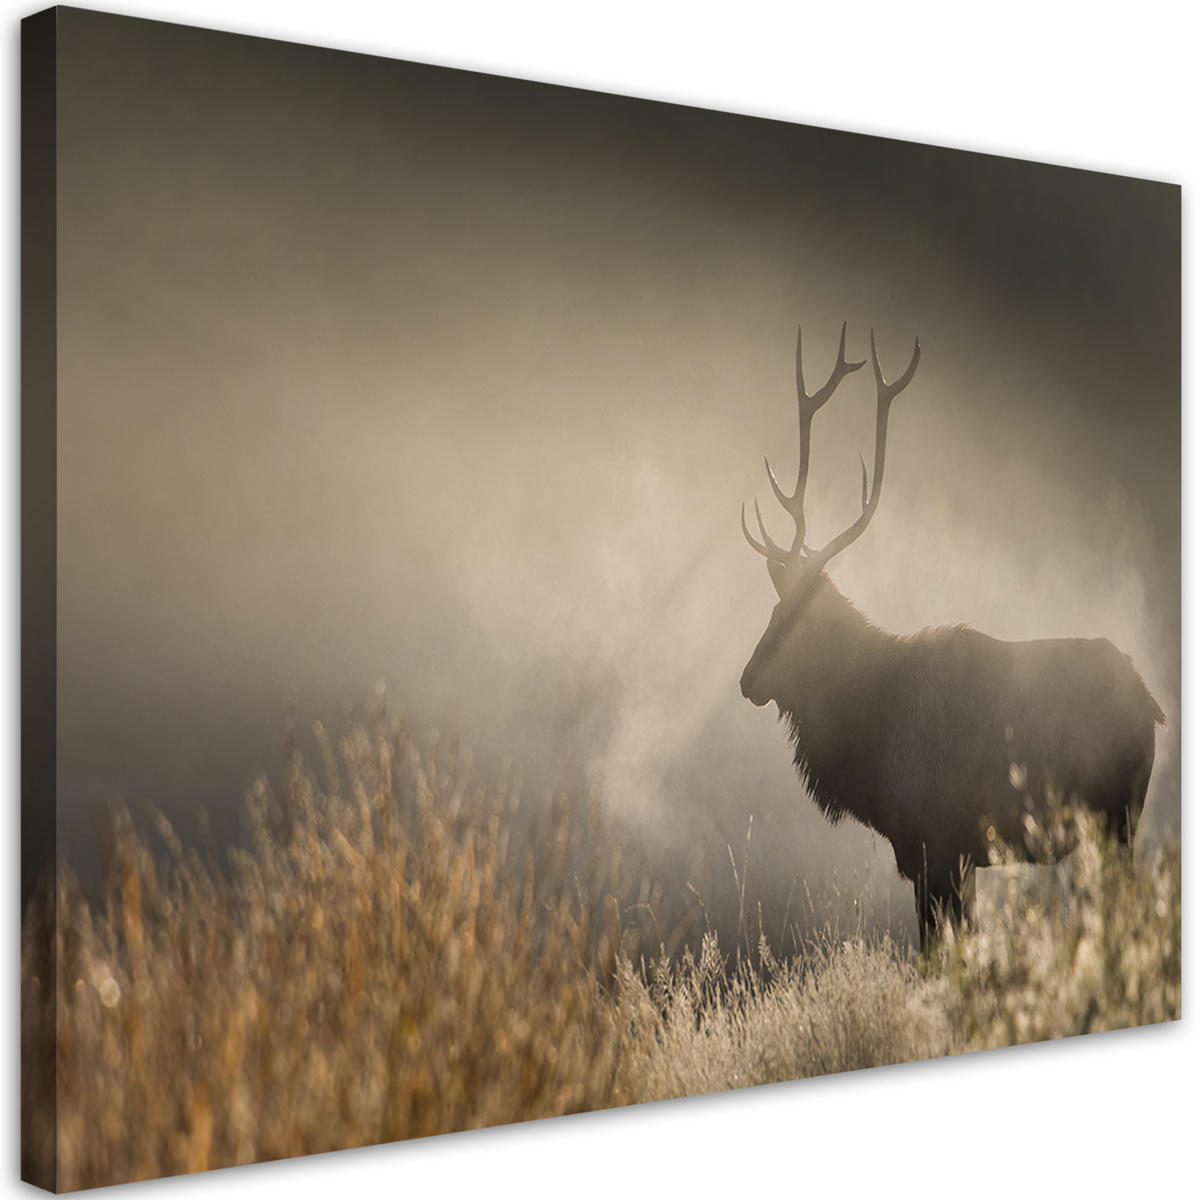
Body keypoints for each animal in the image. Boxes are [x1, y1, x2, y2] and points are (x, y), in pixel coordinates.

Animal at [739, 323, 1164, 948]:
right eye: (773, 610)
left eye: (797, 620)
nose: (747, 681)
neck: (871, 732)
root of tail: (1151, 704)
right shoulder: (944, 853)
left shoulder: (937, 842)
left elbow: (938, 951)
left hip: (1115, 821)